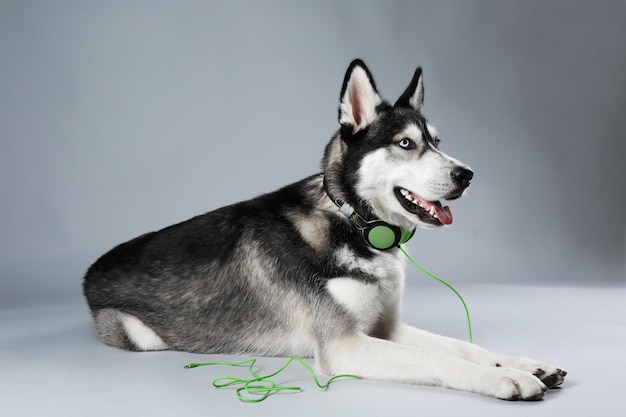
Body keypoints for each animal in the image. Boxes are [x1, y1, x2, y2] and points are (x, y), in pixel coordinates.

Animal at [80, 60, 564, 398]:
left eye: (437, 142)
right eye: (406, 143)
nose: (467, 175)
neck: (355, 224)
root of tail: (91, 271)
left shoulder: (385, 328)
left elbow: (463, 346)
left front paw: (521, 363)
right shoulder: (345, 346)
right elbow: (436, 357)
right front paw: (507, 379)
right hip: (140, 335)